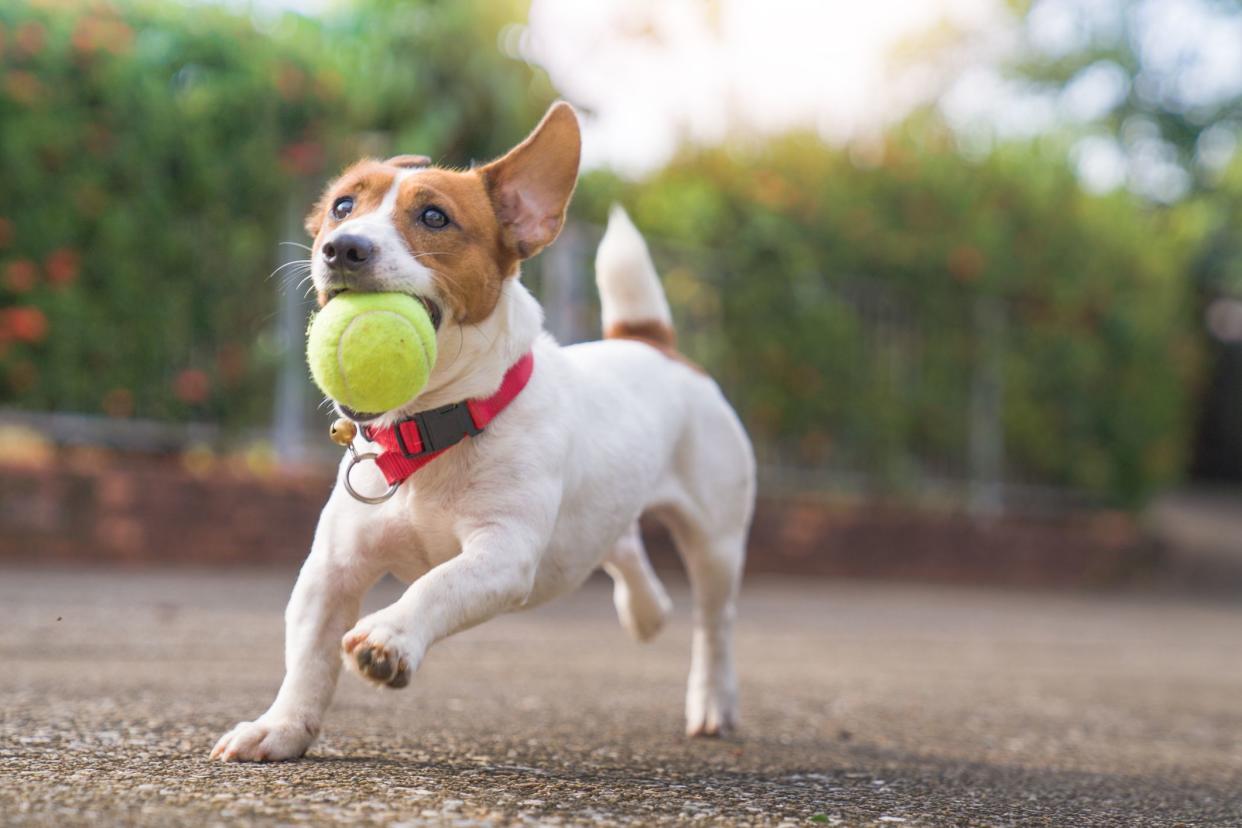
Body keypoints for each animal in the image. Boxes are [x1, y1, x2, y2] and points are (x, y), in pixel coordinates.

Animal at [211, 100, 755, 759]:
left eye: (434, 216)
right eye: (342, 206)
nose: (342, 248)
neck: (430, 429)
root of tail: (653, 344)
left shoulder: (503, 552)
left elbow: (437, 585)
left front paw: (390, 637)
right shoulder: (331, 568)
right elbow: (308, 660)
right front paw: (280, 727)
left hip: (716, 541)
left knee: (715, 625)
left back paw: (713, 702)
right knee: (621, 543)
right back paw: (646, 611)